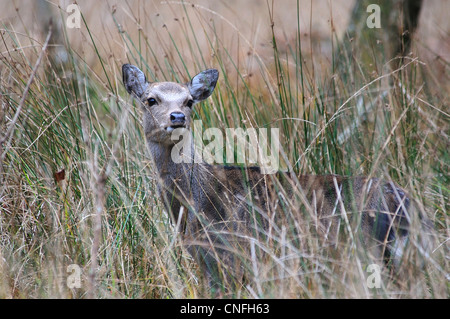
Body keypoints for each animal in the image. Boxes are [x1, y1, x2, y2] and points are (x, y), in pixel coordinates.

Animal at [122, 63, 426, 296]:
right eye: (150, 99)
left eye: (189, 101)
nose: (177, 117)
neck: (194, 204)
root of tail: (408, 205)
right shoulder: (206, 259)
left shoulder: (234, 254)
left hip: (368, 252)